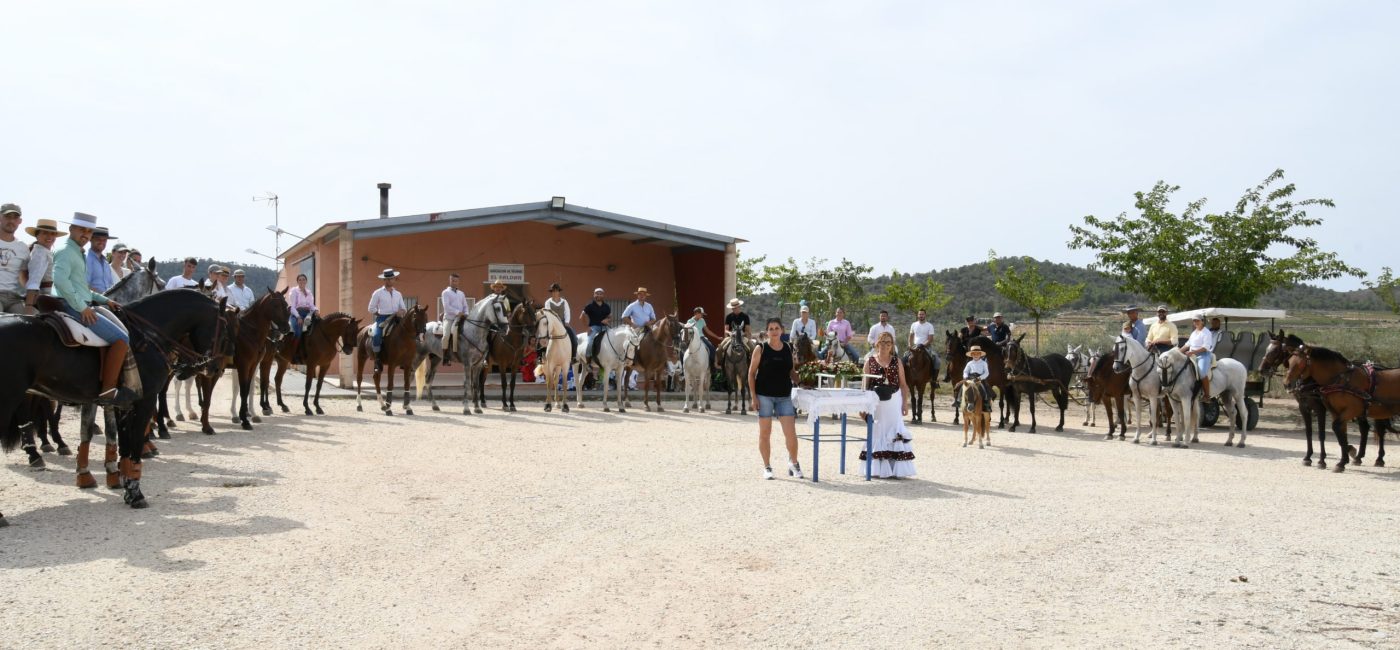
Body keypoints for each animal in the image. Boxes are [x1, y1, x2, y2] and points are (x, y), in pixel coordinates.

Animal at [0, 289, 226, 523]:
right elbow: (134, 443)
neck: (147, 336)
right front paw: (136, 494)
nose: (216, 368)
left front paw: (125, 485)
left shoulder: (122, 405)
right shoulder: (145, 402)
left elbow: (122, 444)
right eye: (224, 330)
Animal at [1282, 344, 1394, 473]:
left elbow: (1322, 434)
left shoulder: (1321, 409)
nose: (1286, 384)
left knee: (1380, 431)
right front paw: (1308, 457)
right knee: (1365, 428)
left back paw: (1379, 459)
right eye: (1289, 362)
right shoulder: (1304, 408)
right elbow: (1309, 432)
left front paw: (1322, 461)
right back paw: (1359, 457)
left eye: (1300, 364)